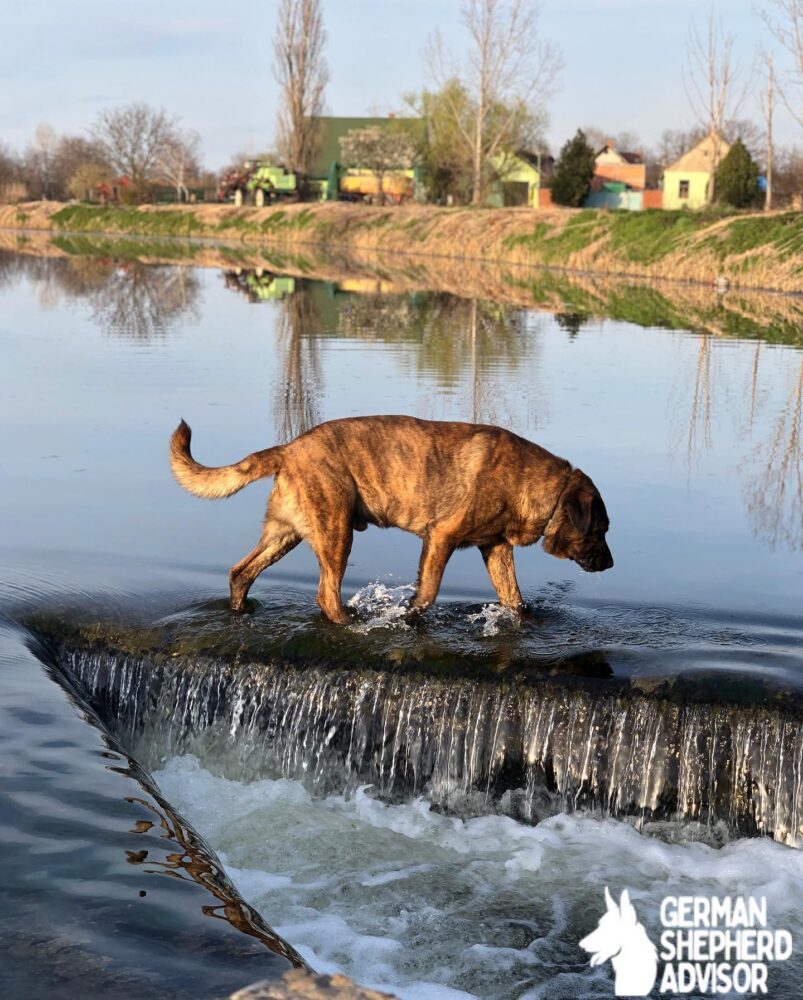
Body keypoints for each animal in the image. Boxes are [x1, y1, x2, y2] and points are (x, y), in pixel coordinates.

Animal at [166, 412, 612, 616]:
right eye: (600, 529)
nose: (610, 564)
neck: (536, 486)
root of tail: (288, 449)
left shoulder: (496, 550)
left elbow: (514, 599)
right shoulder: (441, 537)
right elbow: (428, 592)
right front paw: (409, 615)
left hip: (284, 534)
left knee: (241, 572)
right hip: (337, 532)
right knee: (326, 594)